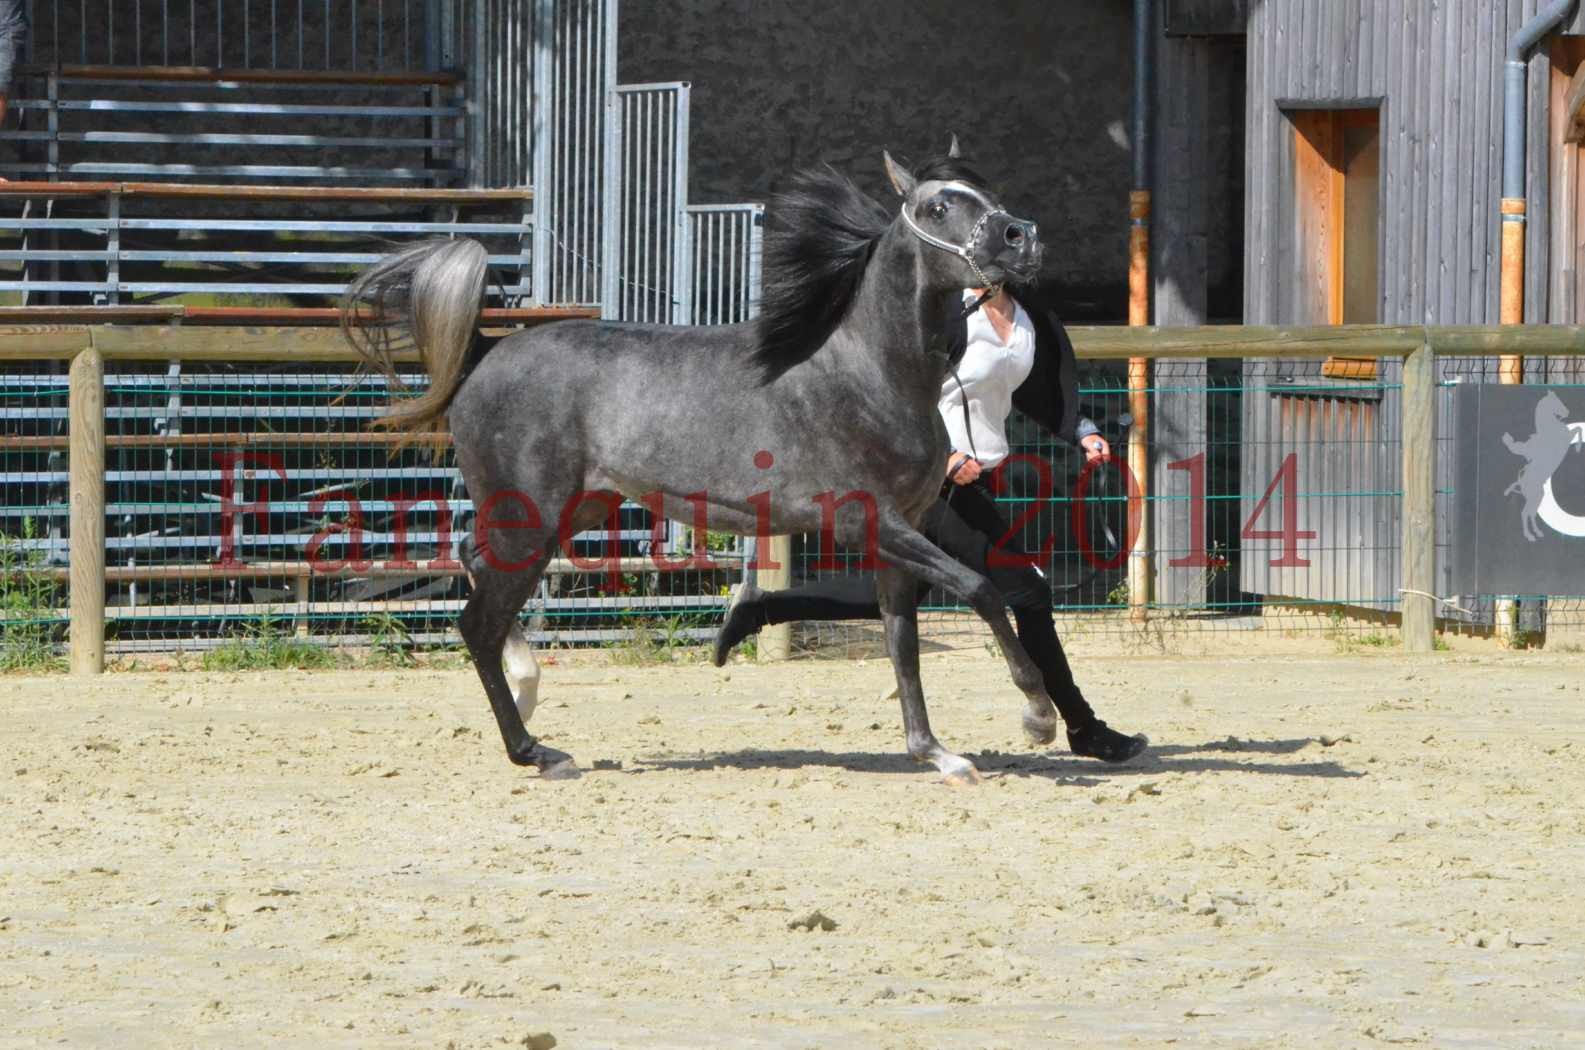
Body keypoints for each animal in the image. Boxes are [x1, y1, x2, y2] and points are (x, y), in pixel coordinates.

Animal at [345, 149, 1058, 789]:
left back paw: (529, 691)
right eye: (939, 206)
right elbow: (981, 589)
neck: (871, 373)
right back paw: (538, 752)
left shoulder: (900, 532)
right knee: (476, 622)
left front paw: (937, 754)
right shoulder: (872, 523)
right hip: (533, 517)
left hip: (574, 508)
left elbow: (903, 643)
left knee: (473, 564)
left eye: (986, 191)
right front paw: (1037, 715)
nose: (1023, 238)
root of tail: (485, 355)